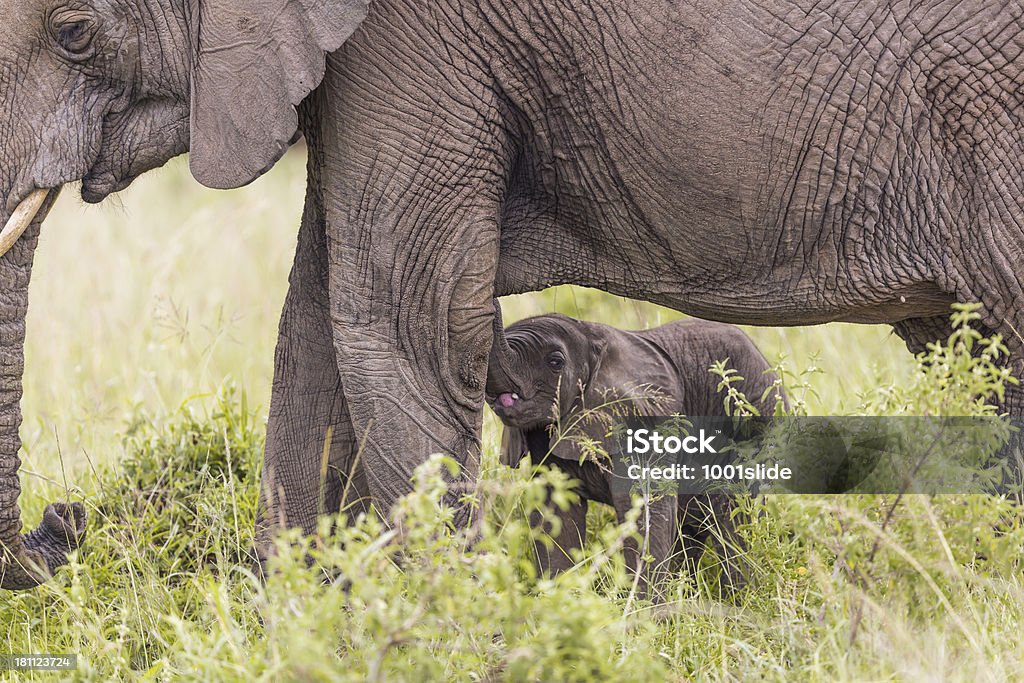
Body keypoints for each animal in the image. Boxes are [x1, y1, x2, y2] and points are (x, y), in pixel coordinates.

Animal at [483, 313, 778, 598]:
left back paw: (738, 600)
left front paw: (643, 609)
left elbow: (644, 511)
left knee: (735, 518)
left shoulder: (646, 423)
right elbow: (556, 514)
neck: (593, 335)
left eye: (555, 361)